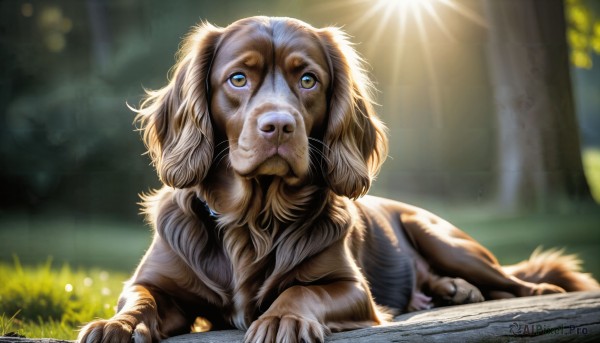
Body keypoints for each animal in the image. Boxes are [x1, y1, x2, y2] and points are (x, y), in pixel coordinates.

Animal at [77, 16, 596, 343]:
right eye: (238, 79)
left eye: (308, 80)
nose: (279, 126)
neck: (254, 220)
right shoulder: (157, 281)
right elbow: (139, 297)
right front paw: (117, 324)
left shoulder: (352, 288)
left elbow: (300, 289)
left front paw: (281, 319)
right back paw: (453, 291)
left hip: (441, 236)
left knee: (512, 279)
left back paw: (526, 291)